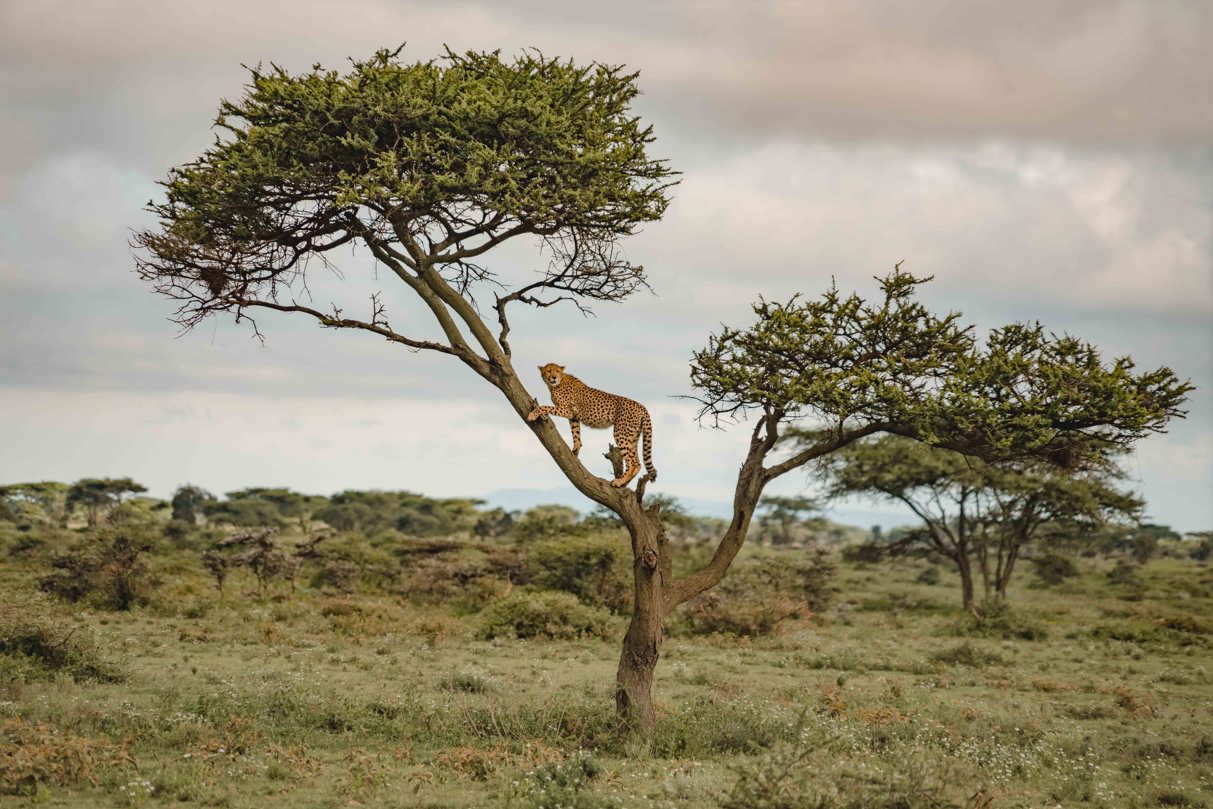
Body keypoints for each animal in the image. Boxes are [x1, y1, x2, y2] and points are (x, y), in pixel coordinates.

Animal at [526, 363, 657, 488]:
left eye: (557, 371)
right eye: (549, 371)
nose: (553, 377)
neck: (557, 383)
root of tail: (641, 406)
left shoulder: (567, 410)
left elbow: (544, 406)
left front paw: (533, 414)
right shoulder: (574, 416)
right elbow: (576, 433)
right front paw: (575, 451)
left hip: (621, 433)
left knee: (633, 462)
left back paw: (619, 482)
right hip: (633, 436)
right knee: (638, 462)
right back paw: (624, 482)